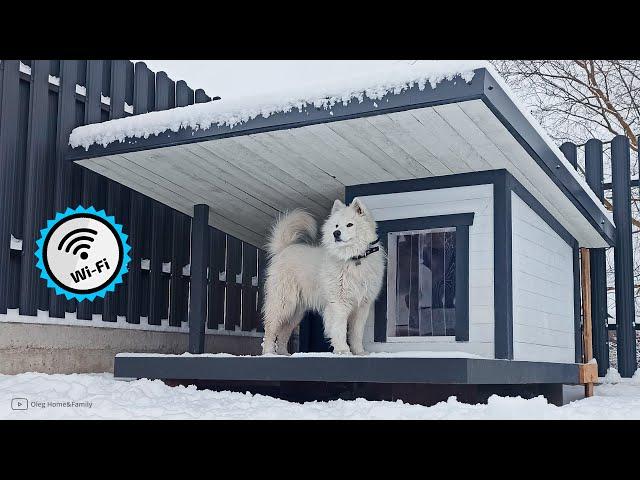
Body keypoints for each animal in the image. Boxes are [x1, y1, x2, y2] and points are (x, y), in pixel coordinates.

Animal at [262, 197, 384, 354]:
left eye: (349, 224)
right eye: (336, 225)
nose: (336, 233)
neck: (353, 258)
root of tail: (284, 248)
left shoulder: (362, 306)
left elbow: (357, 333)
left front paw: (359, 352)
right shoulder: (339, 303)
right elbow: (339, 329)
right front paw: (343, 350)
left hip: (296, 312)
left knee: (284, 332)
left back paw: (284, 354)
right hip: (283, 303)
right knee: (270, 328)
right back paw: (269, 352)